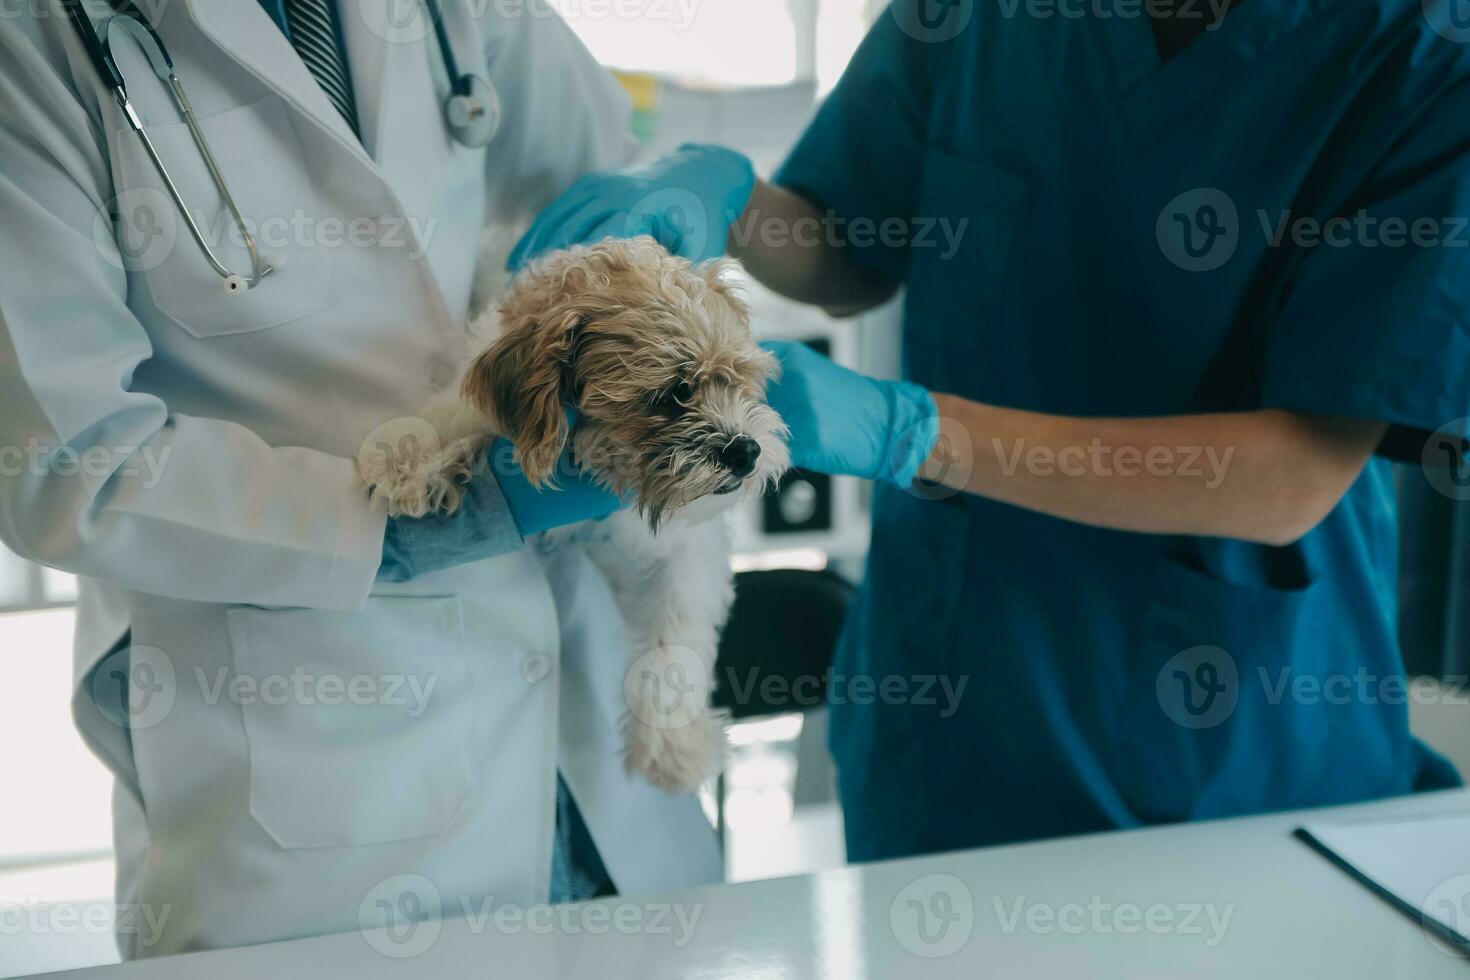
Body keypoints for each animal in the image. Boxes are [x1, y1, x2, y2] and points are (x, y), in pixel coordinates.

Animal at [360, 233, 787, 793]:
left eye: (741, 381)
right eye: (676, 393)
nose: (747, 450)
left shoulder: (687, 551)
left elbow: (674, 642)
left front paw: (671, 747)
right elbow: (460, 407)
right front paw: (408, 461)